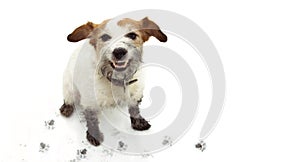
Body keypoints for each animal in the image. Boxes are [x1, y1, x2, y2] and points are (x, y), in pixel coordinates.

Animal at [58, 17, 166, 146]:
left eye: (132, 35)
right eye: (105, 37)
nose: (119, 51)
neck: (117, 80)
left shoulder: (135, 92)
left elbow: (134, 108)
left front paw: (138, 122)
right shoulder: (89, 102)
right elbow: (92, 119)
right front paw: (94, 134)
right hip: (69, 86)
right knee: (69, 98)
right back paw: (67, 107)